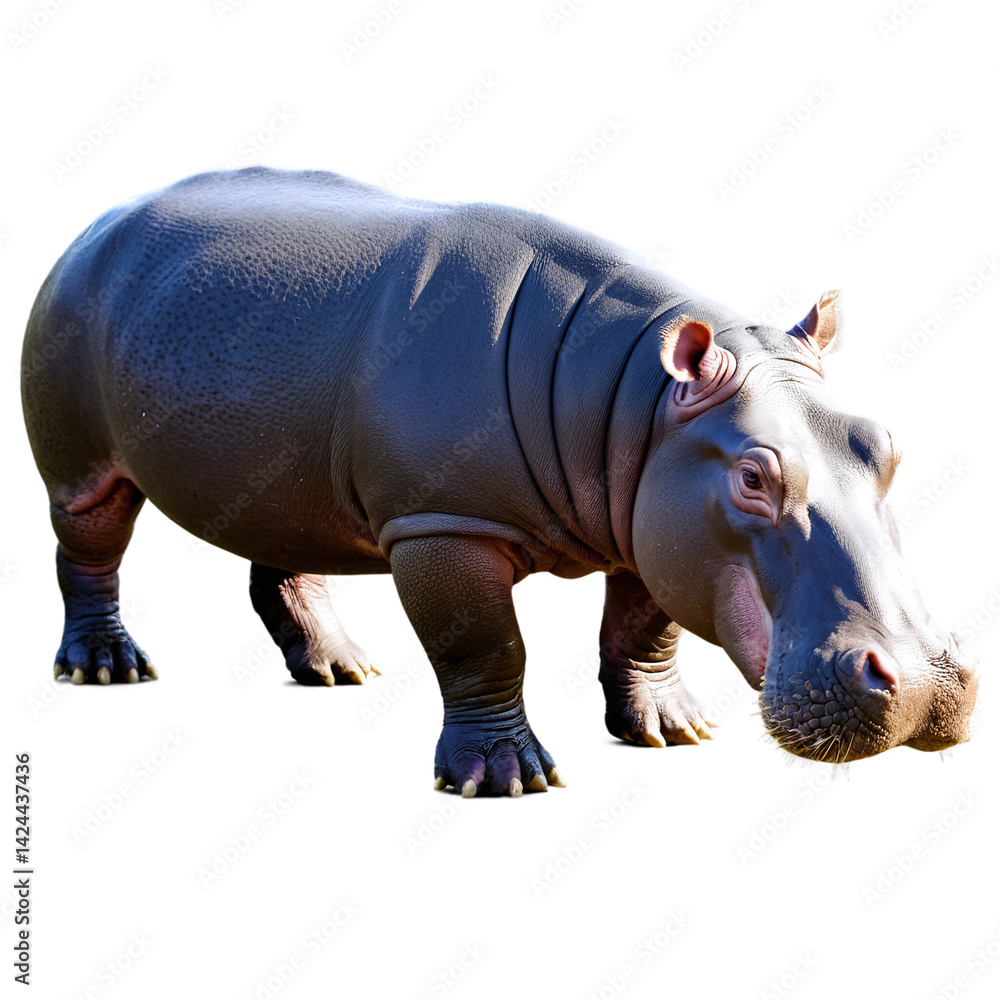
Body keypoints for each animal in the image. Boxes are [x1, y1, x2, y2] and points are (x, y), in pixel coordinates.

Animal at [21, 167, 978, 797]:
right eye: (752, 474)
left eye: (884, 446)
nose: (930, 682)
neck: (637, 401)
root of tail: (98, 221)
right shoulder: (445, 526)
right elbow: (485, 647)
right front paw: (506, 780)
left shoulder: (654, 516)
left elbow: (644, 634)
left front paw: (674, 732)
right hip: (79, 460)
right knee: (87, 547)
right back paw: (108, 670)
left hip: (277, 467)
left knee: (282, 556)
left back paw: (342, 670)